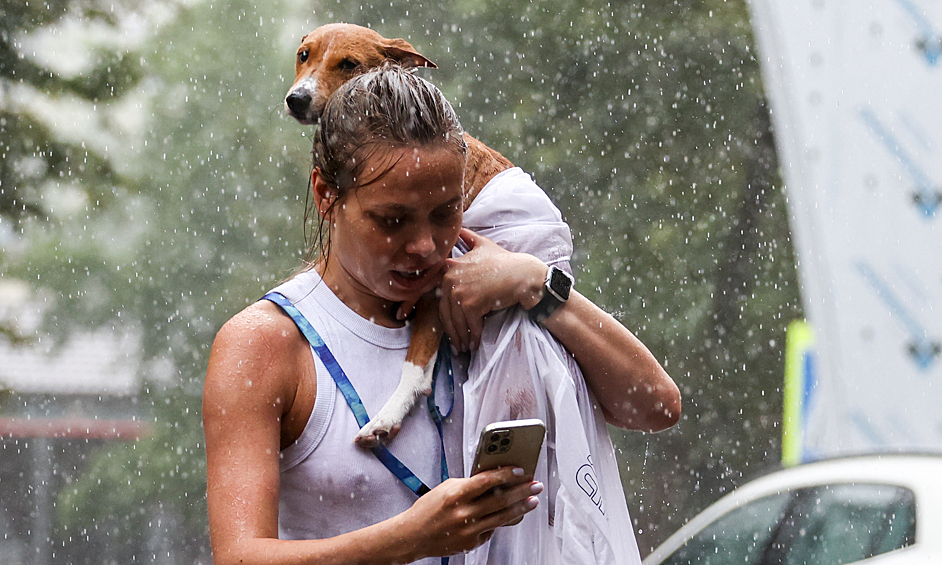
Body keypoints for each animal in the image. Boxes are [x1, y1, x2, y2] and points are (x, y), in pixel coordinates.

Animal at [286, 23, 516, 446]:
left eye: (348, 64)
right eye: (303, 55)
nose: (297, 99)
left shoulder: (437, 284)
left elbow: (417, 367)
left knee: (418, 371)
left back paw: (385, 418)